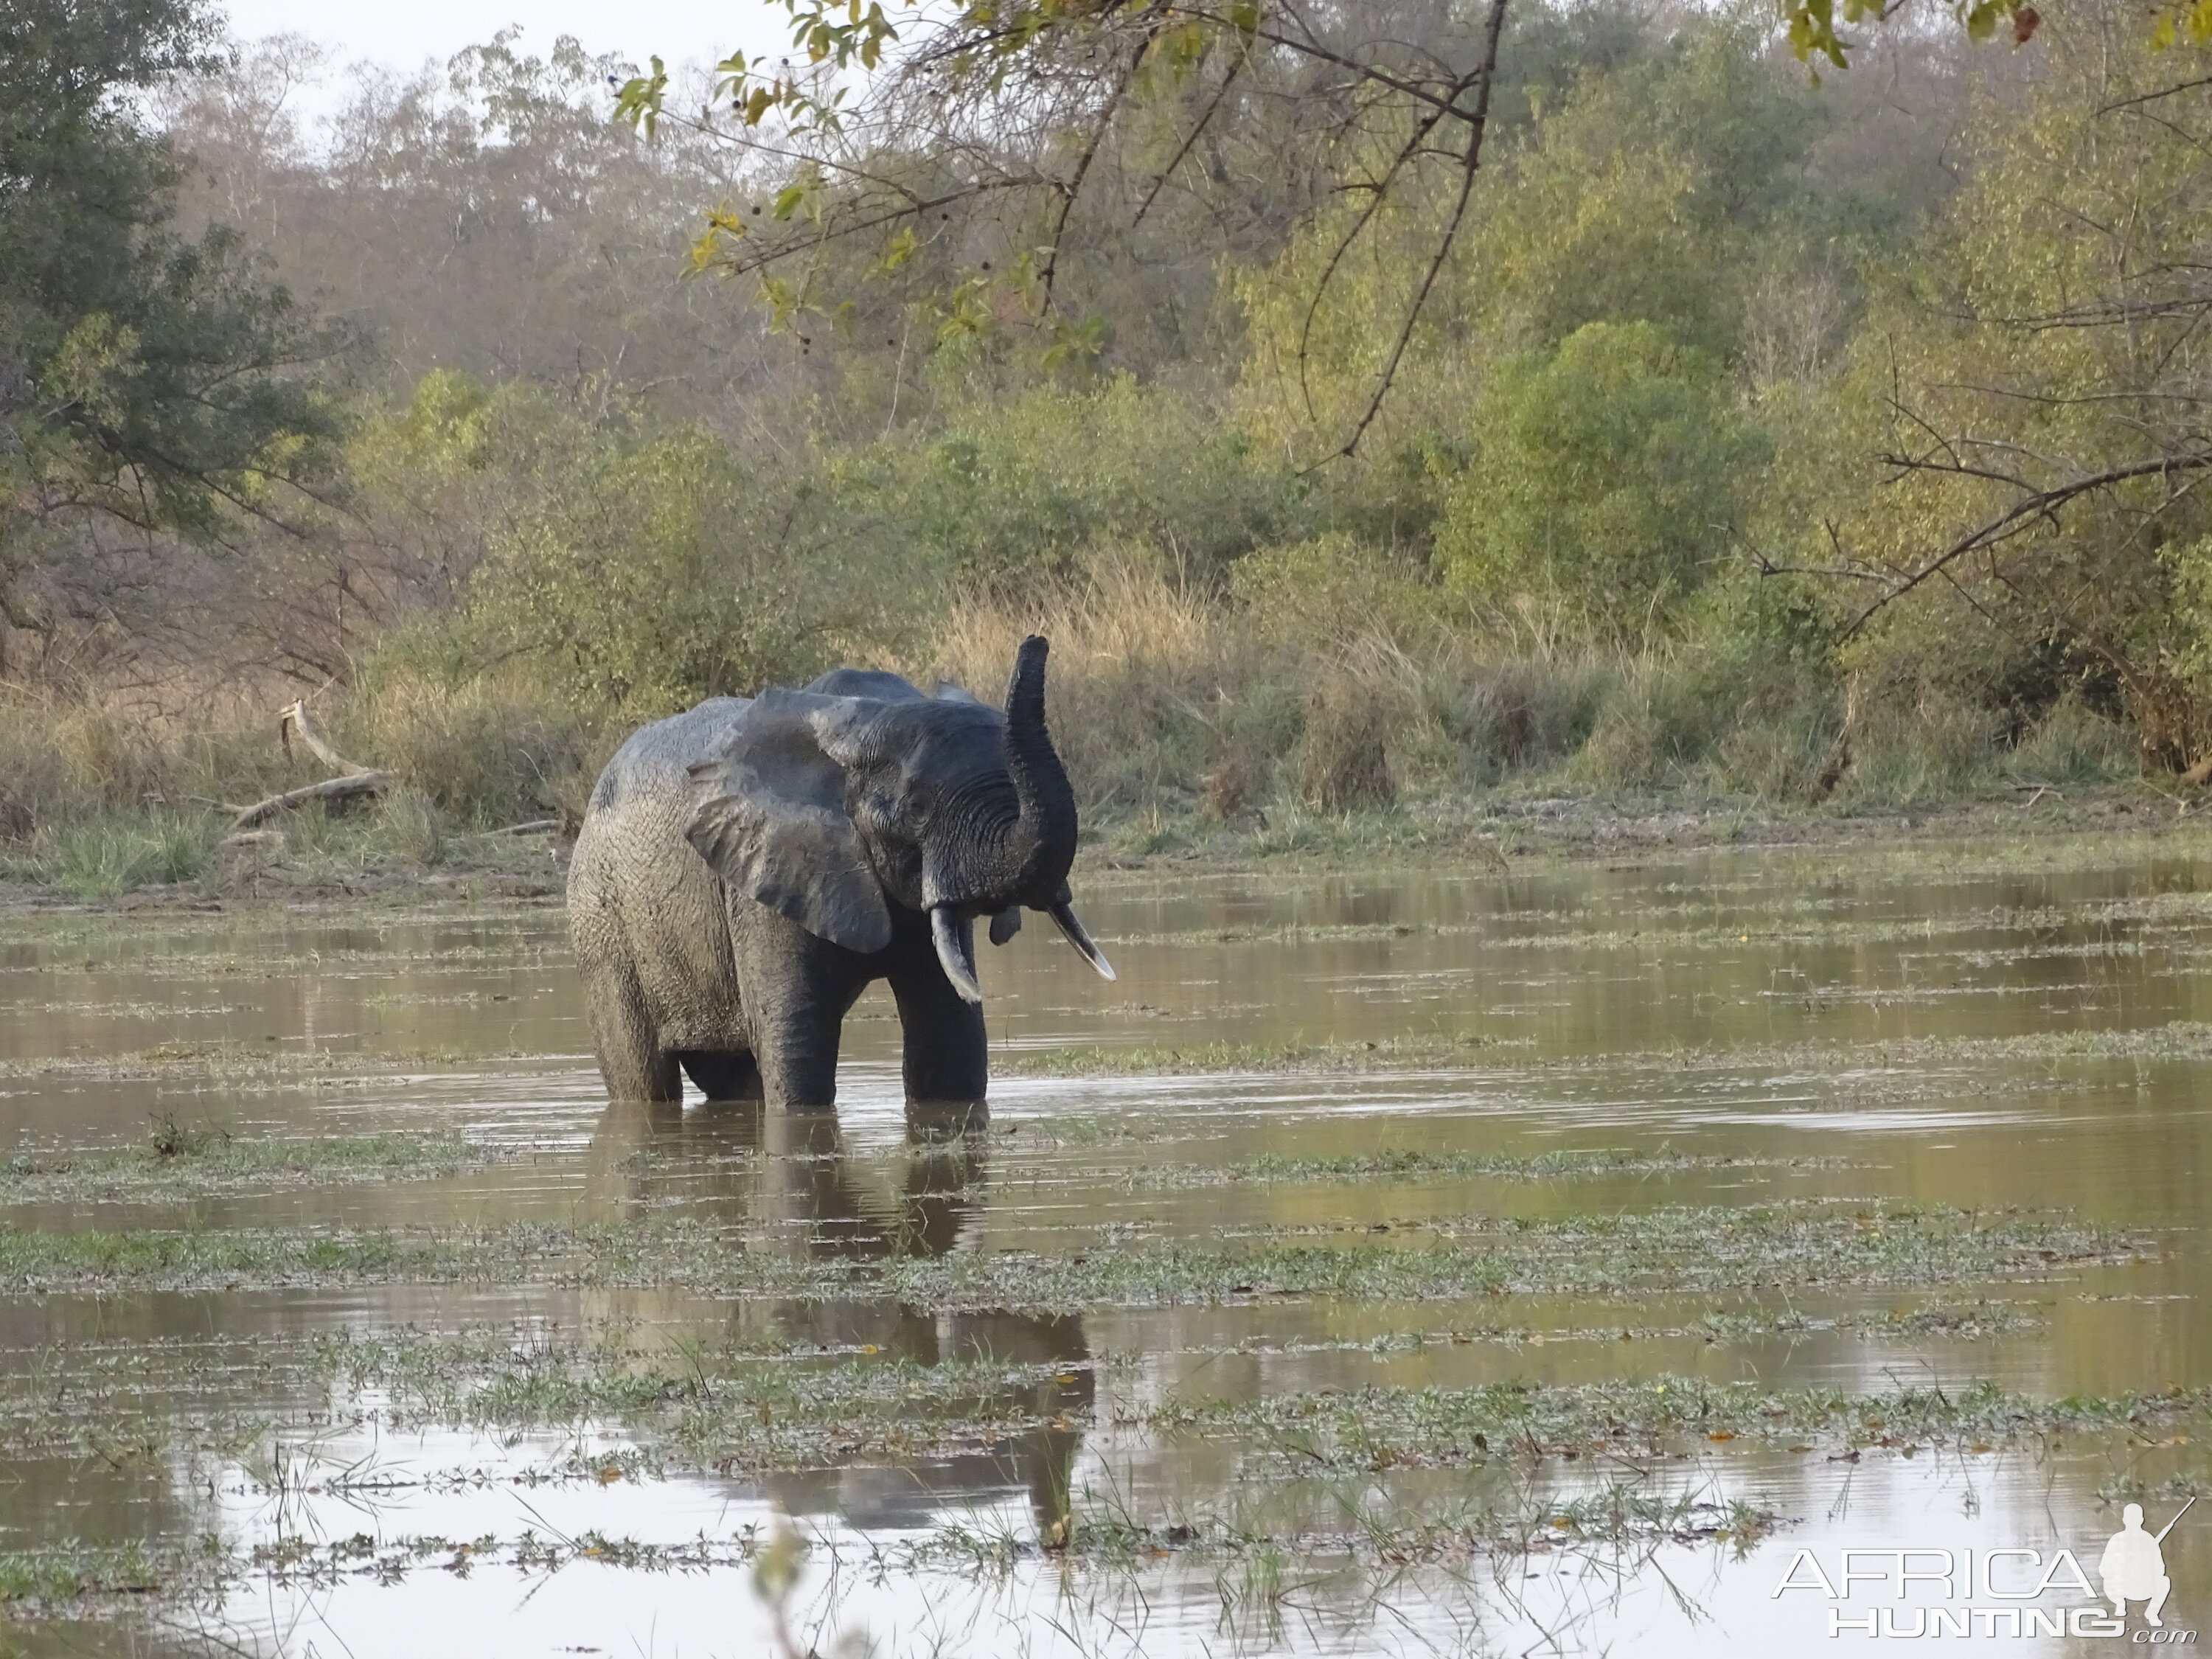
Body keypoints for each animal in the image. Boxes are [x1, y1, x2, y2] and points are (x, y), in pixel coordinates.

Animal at [562, 637, 1115, 1119]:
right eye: (916, 808)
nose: (1037, 641)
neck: (864, 721)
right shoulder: (762, 875)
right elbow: (798, 1047)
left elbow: (950, 1044)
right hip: (602, 925)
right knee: (645, 1080)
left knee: (736, 1079)